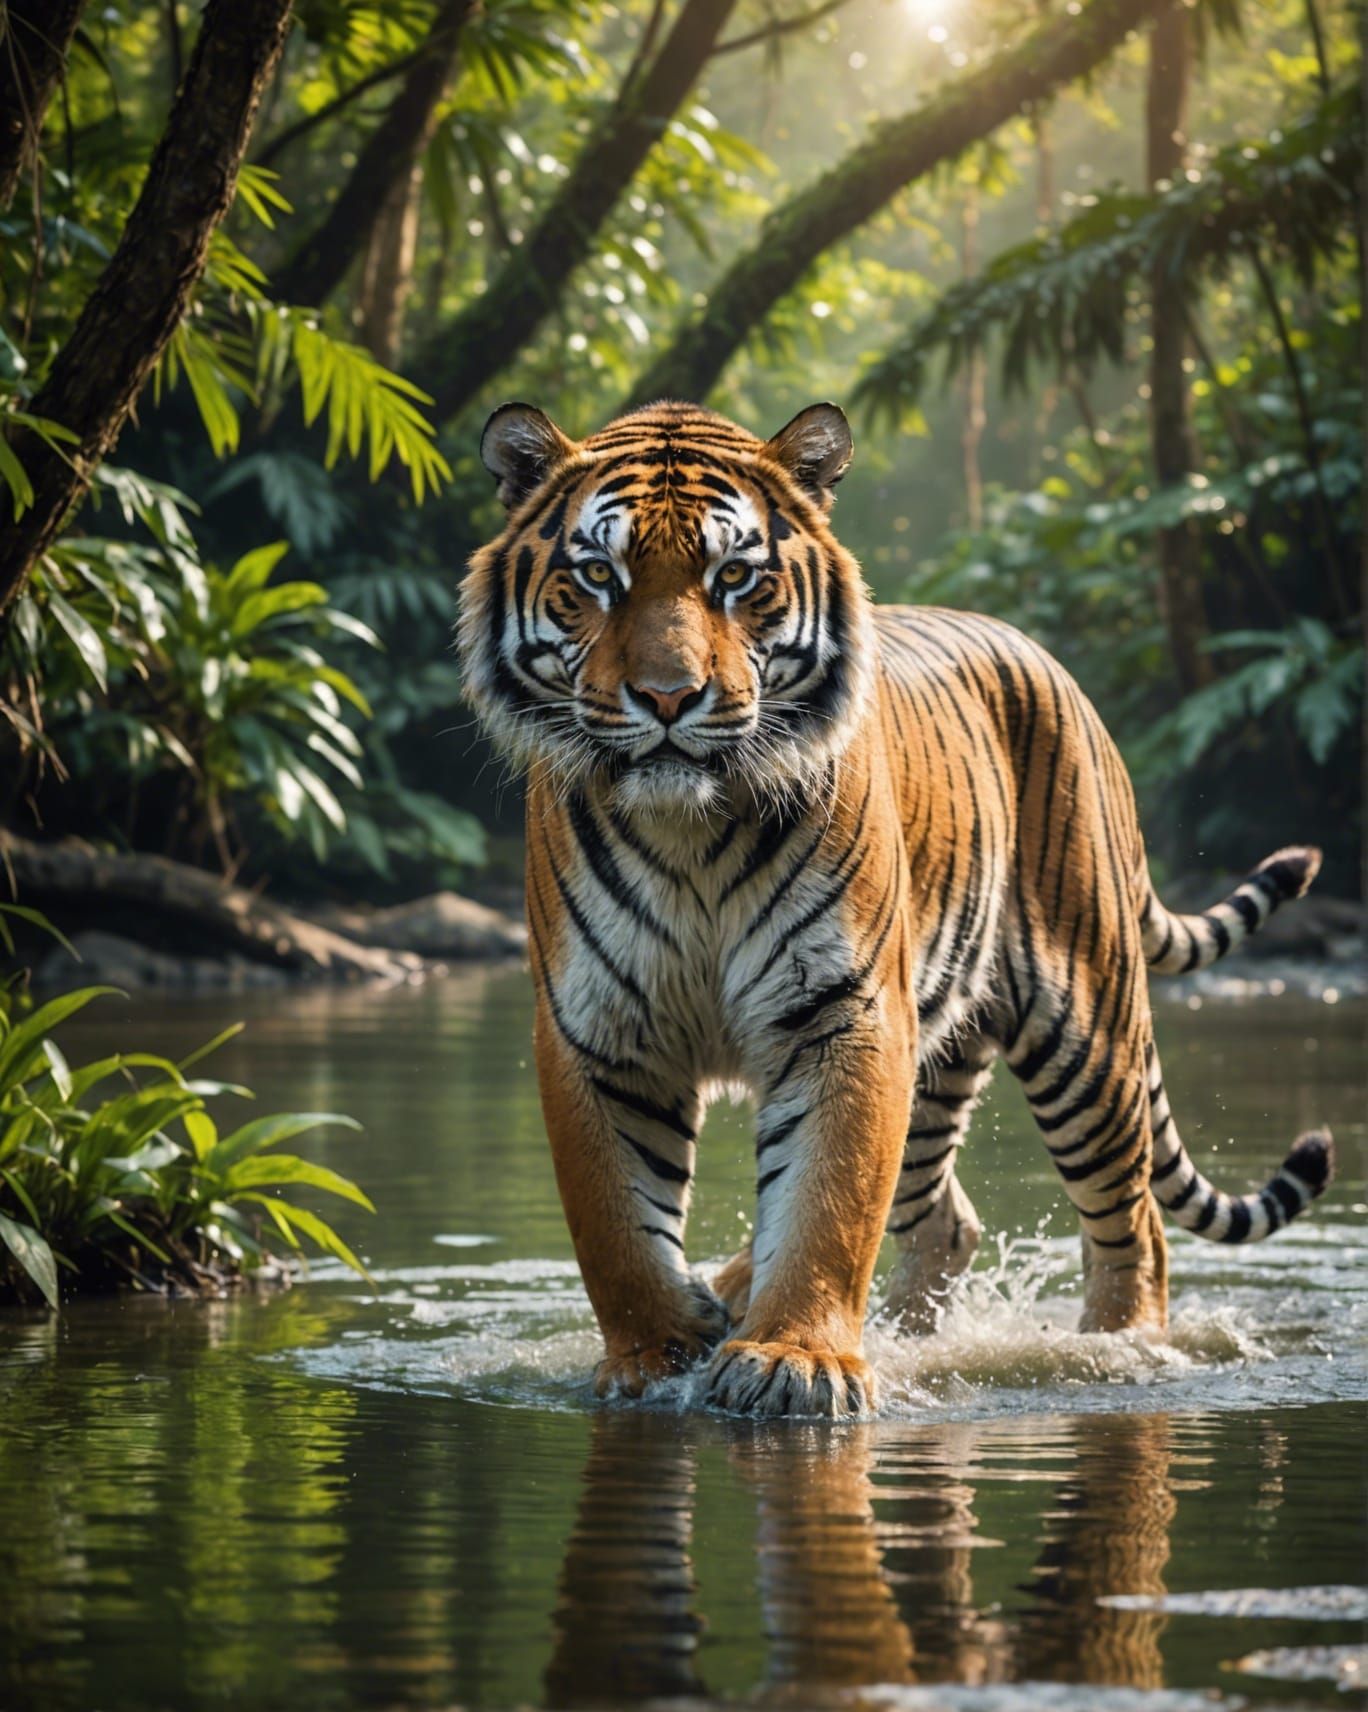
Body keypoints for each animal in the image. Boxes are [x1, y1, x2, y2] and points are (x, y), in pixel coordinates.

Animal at [457, 398, 1334, 1420]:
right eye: (598, 576)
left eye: (735, 577)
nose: (670, 697)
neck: (690, 829)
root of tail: (1052, 664)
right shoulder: (598, 1025)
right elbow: (615, 1225)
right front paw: (656, 1356)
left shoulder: (844, 1011)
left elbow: (827, 1201)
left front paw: (794, 1361)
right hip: (940, 1058)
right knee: (946, 1223)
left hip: (1086, 1030)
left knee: (1135, 1226)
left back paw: (1120, 1352)